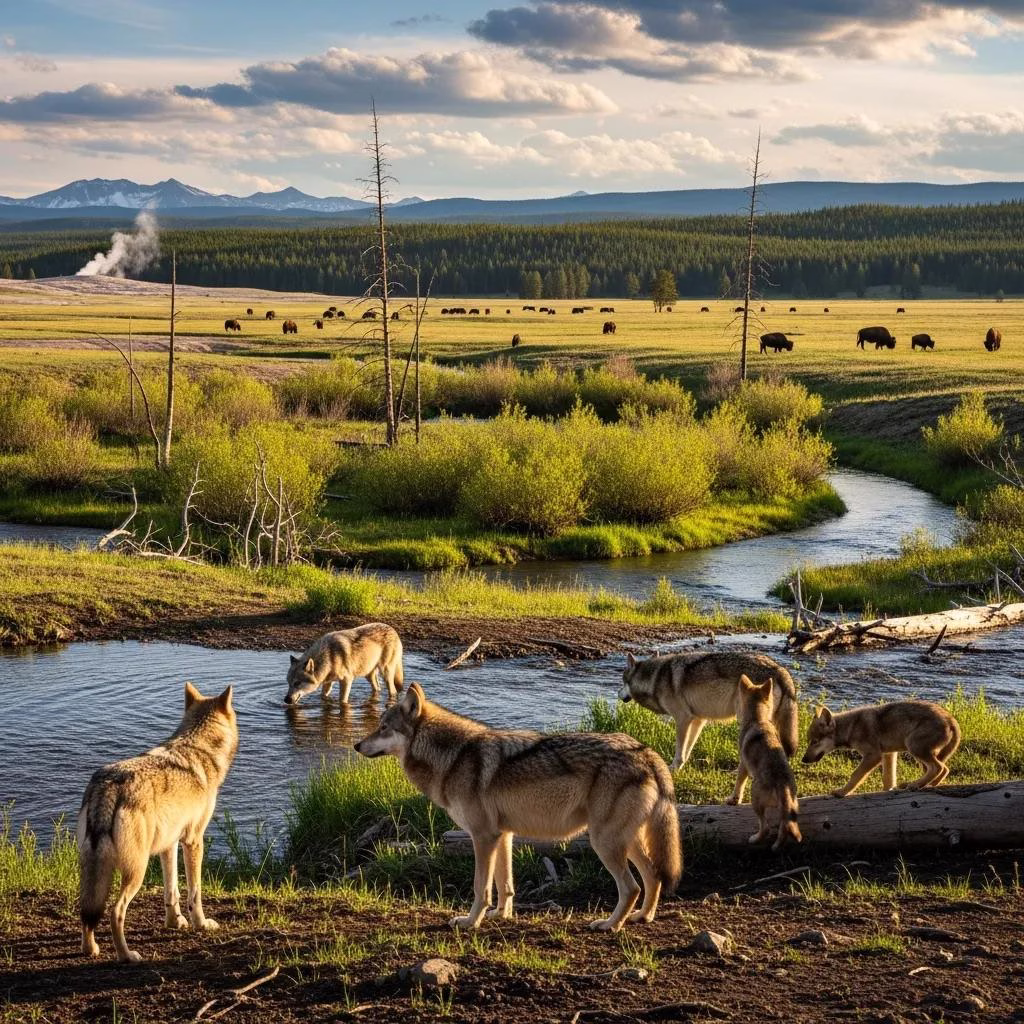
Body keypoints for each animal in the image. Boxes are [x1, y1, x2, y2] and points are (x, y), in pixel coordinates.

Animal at [78, 682, 238, 963]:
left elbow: (171, 890)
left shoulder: (169, 844)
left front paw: (174, 923)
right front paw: (201, 924)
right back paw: (127, 955)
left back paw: (91, 949)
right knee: (115, 912)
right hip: (137, 871)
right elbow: (194, 892)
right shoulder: (193, 841)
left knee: (87, 913)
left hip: (94, 872)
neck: (200, 748)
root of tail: (108, 786)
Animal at [354, 683, 681, 932]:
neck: (454, 757)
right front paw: (501, 915)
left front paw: (471, 922)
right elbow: (505, 884)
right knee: (653, 876)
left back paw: (610, 925)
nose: (357, 745)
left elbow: (481, 887)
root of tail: (648, 753)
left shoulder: (483, 837)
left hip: (604, 843)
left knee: (632, 887)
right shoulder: (503, 836)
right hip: (625, 841)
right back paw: (643, 917)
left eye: (383, 728)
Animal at [619, 650, 799, 803]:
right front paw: (681, 768)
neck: (655, 679)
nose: (619, 695)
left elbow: (679, 752)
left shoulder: (682, 718)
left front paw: (672, 770)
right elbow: (687, 750)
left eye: (622, 681)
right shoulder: (698, 720)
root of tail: (780, 669)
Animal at [737, 674, 802, 850]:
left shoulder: (743, 764)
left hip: (755, 799)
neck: (758, 720)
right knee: (784, 827)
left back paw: (755, 839)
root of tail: (782, 785)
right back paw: (778, 845)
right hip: (792, 809)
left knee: (765, 828)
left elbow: (739, 781)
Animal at [802, 699, 962, 797]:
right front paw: (887, 792)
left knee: (938, 768)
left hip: (914, 747)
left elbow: (855, 775)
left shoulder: (873, 756)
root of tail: (952, 721)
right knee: (943, 769)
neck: (852, 727)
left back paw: (915, 785)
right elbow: (888, 779)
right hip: (920, 753)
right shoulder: (888, 754)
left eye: (814, 742)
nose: (803, 760)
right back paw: (918, 785)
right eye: (809, 741)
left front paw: (842, 792)